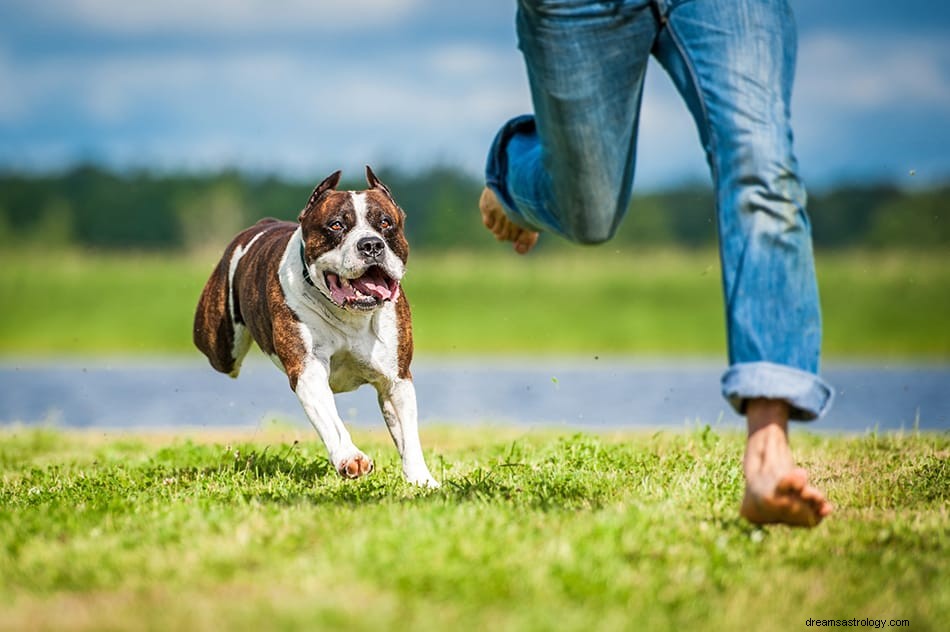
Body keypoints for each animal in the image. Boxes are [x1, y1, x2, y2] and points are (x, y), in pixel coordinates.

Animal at [194, 168, 446, 488]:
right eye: (336, 225)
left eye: (386, 223)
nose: (371, 244)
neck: (351, 315)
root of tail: (263, 224)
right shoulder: (309, 371)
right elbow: (332, 422)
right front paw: (351, 458)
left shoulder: (396, 380)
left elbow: (409, 435)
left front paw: (421, 480)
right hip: (222, 349)